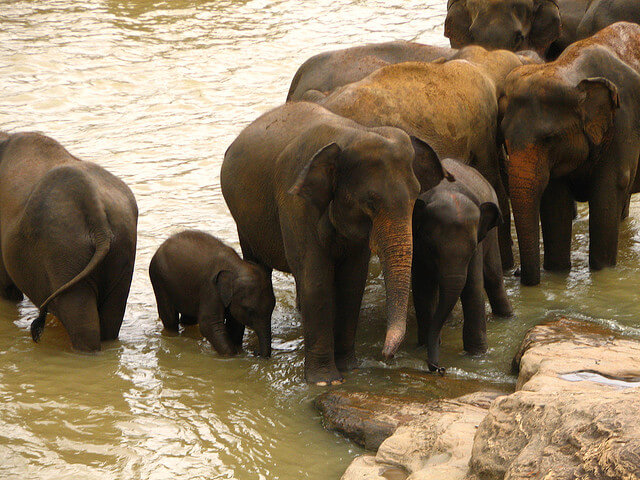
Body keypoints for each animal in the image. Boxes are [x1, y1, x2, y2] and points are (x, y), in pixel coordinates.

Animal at [221, 101, 451, 385]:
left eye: (416, 195)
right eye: (370, 202)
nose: (387, 355)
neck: (350, 134)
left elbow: (352, 280)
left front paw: (350, 369)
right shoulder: (296, 203)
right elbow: (316, 278)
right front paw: (325, 381)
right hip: (244, 221)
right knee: (258, 266)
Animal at [412, 159, 512, 374]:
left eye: (473, 247)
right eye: (429, 245)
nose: (438, 368)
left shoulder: (478, 246)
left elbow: (472, 288)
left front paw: (476, 355)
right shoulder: (416, 245)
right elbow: (423, 289)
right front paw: (424, 345)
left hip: (492, 236)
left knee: (493, 277)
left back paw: (507, 317)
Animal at [501, 22, 640, 286]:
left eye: (549, 139)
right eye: (504, 141)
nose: (517, 272)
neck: (568, 70)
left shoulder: (623, 124)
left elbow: (608, 191)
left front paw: (602, 271)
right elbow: (555, 201)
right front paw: (556, 271)